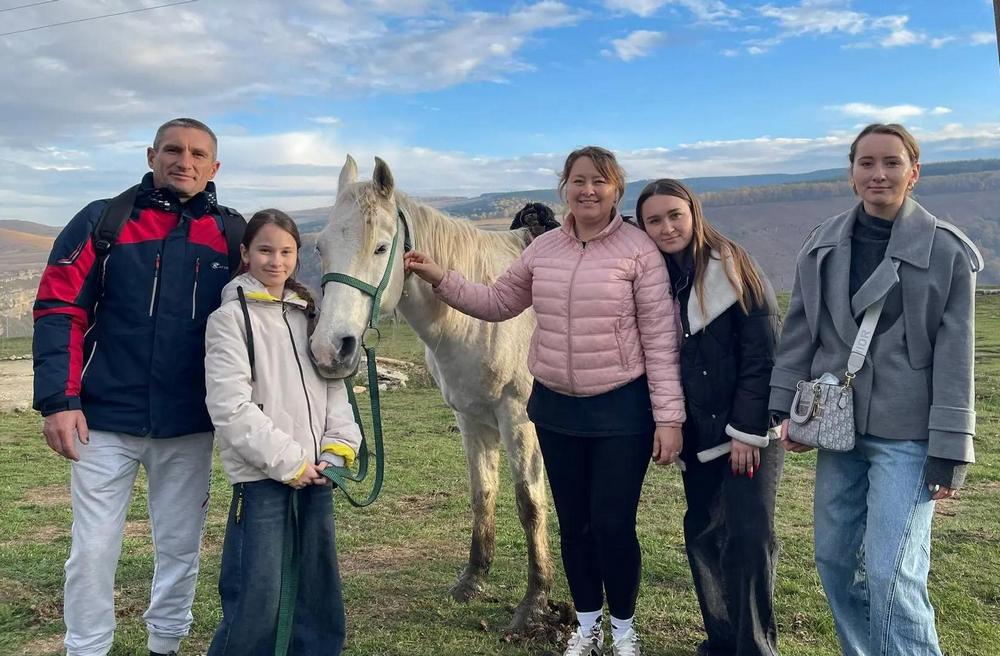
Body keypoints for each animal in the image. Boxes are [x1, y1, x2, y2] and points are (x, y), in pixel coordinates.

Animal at [309, 155, 553, 630]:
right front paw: (473, 580)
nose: (331, 349)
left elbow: (529, 503)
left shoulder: (520, 420)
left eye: (381, 248)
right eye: (320, 247)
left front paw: (534, 603)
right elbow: (482, 494)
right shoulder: (472, 420)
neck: (484, 315)